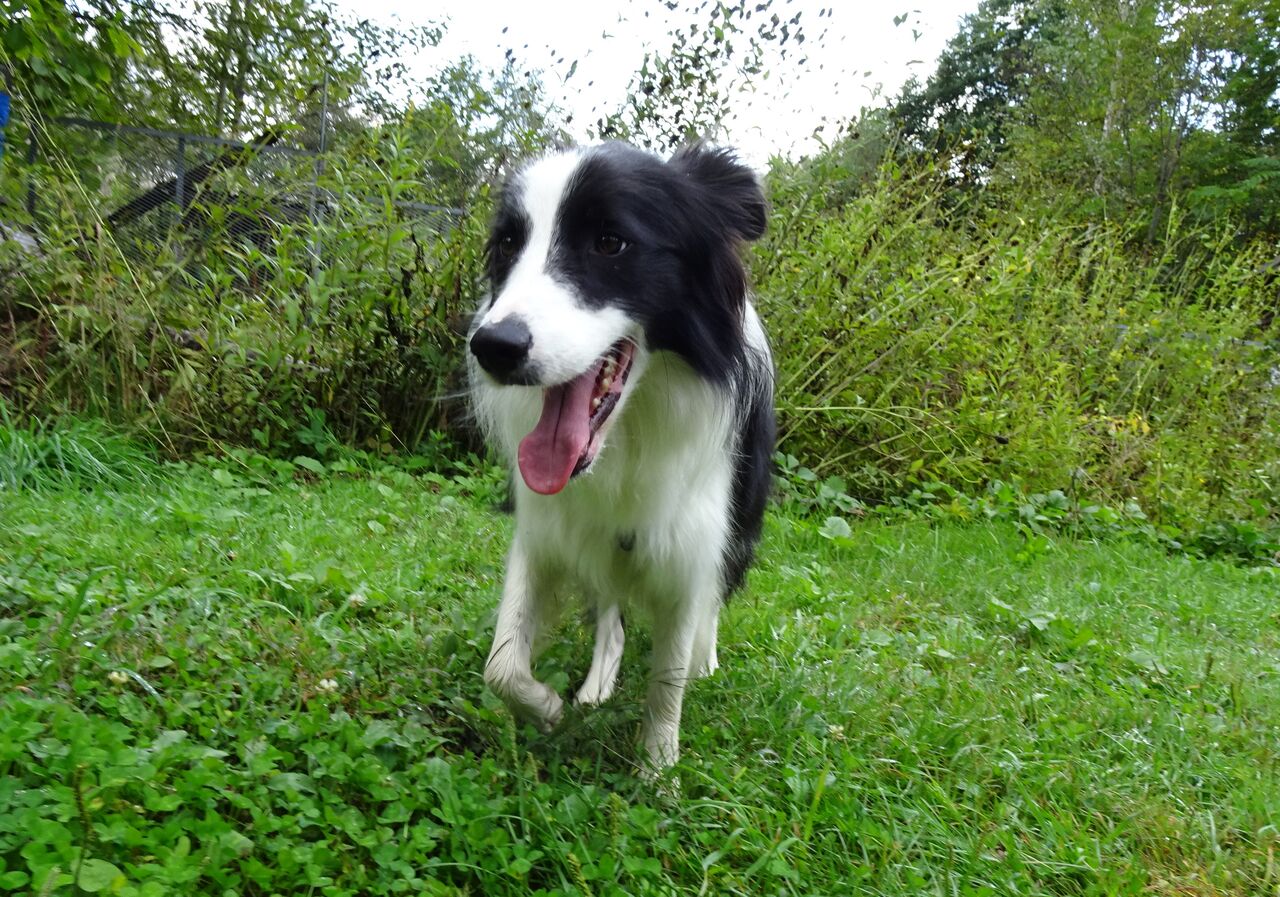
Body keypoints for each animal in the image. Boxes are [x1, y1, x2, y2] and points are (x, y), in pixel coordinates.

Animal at [467, 141, 775, 773]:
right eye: (508, 244)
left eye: (610, 242)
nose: (493, 347)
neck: (626, 440)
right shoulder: (547, 526)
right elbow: (501, 665)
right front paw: (550, 709)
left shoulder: (691, 542)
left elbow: (669, 676)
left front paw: (657, 772)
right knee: (609, 610)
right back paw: (595, 687)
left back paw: (704, 660)